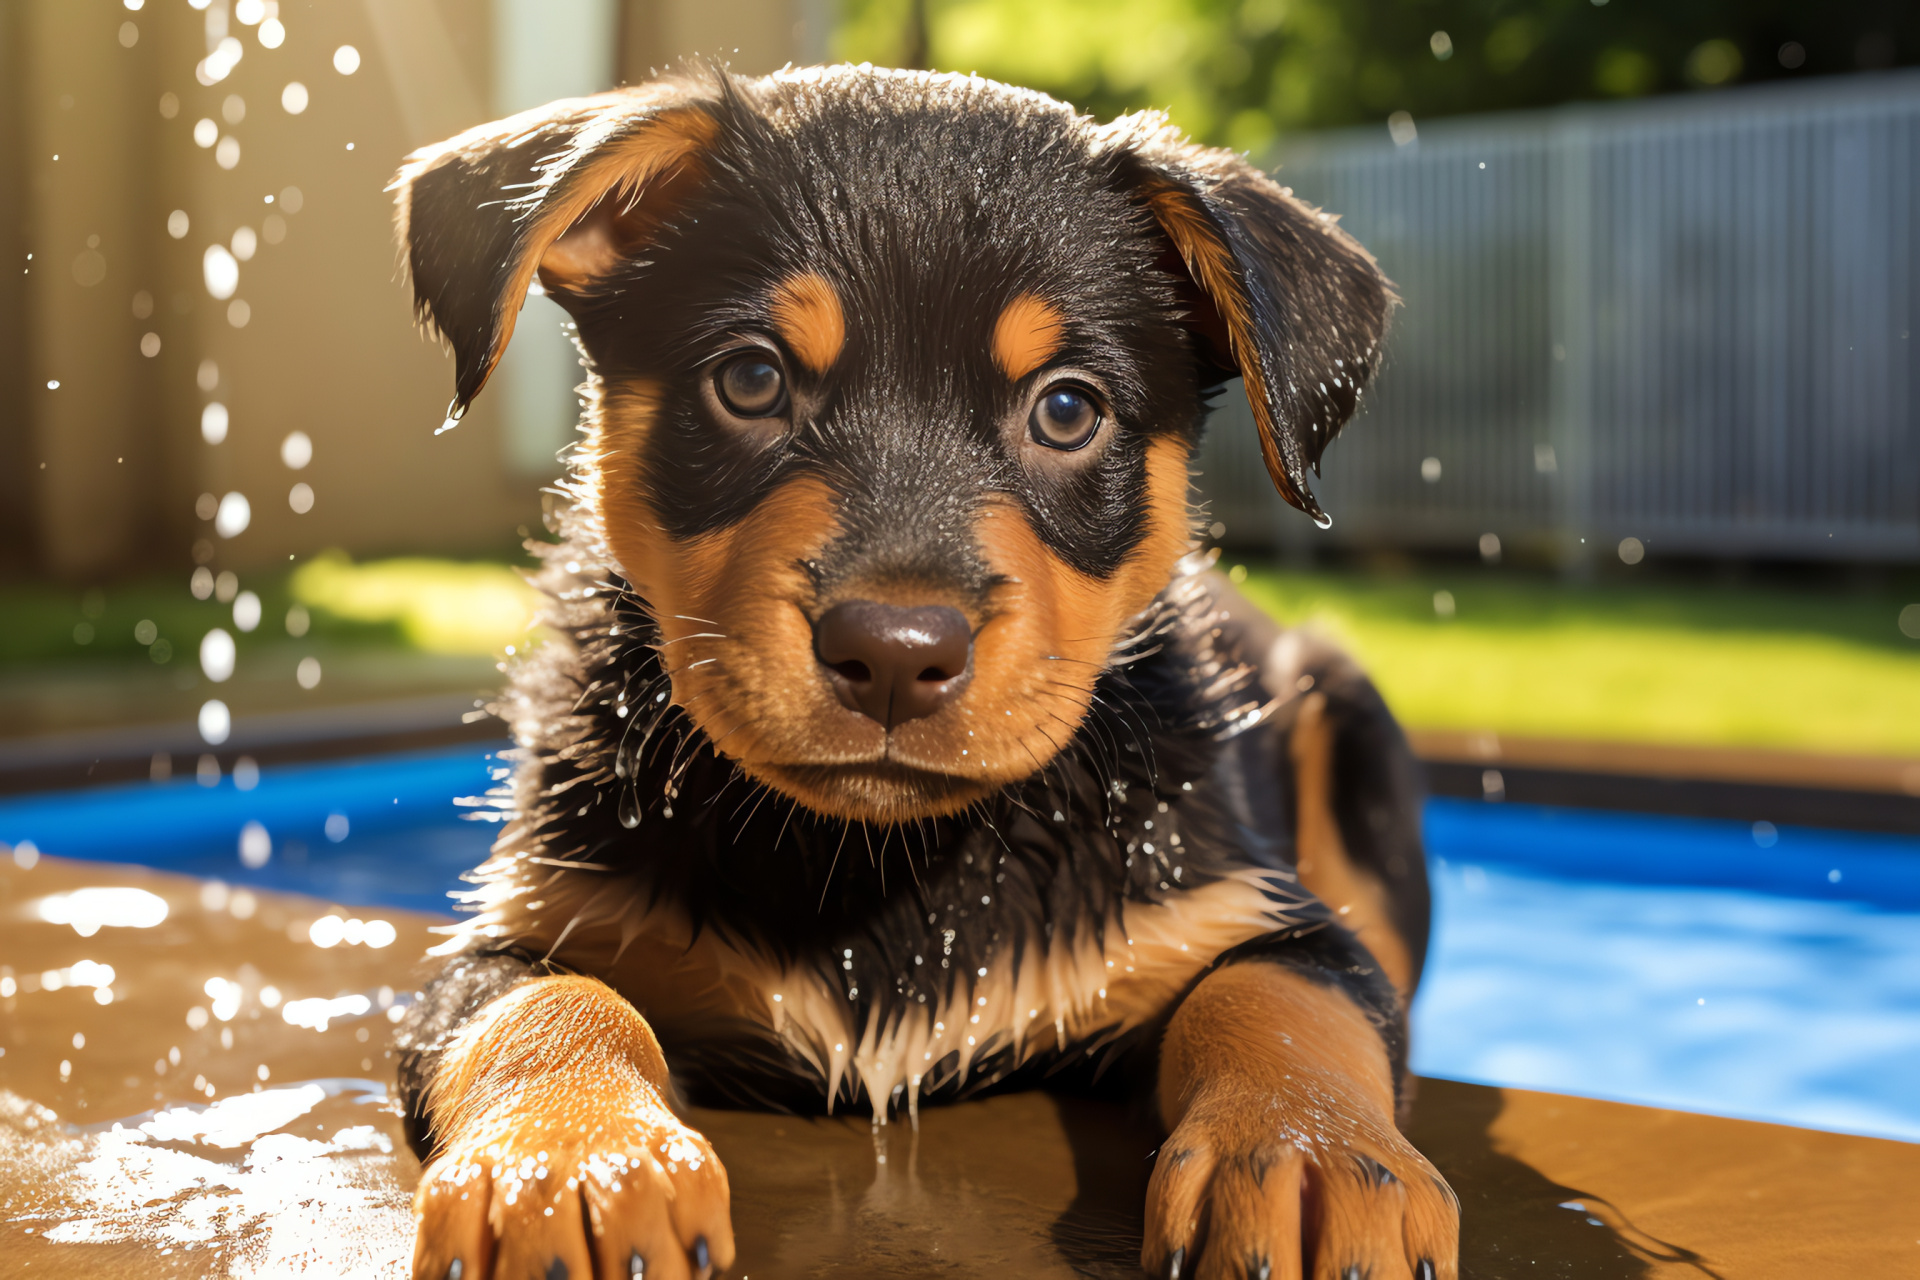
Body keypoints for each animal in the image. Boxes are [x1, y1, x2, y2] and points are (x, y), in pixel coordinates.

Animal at [397, 62, 1459, 1280]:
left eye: (1067, 408)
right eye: (749, 380)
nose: (895, 655)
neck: (887, 871)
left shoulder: (1242, 908)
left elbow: (1286, 994)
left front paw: (1310, 1154)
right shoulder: (530, 923)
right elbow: (547, 1004)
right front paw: (570, 1160)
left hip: (1350, 722)